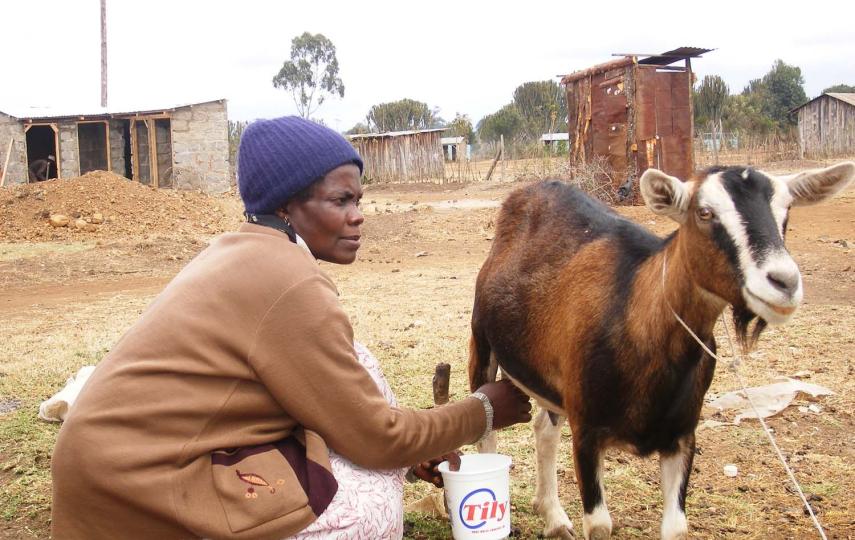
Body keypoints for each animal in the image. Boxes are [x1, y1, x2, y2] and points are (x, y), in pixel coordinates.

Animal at [469, 163, 854, 540]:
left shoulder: (681, 436)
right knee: (486, 427)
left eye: (786, 211)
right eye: (704, 212)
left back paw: (554, 518)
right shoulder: (587, 431)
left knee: (544, 429)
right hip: (482, 345)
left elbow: (676, 526)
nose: (784, 283)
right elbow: (599, 524)